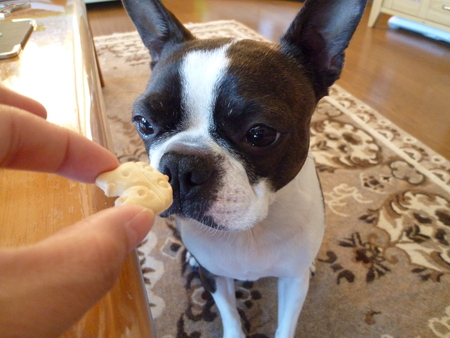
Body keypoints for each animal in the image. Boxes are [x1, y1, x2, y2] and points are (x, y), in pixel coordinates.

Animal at [121, 0, 368, 336]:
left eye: (260, 134)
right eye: (144, 123)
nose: (181, 165)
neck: (250, 230)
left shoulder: (293, 282)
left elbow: (285, 325)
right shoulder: (214, 276)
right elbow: (230, 314)